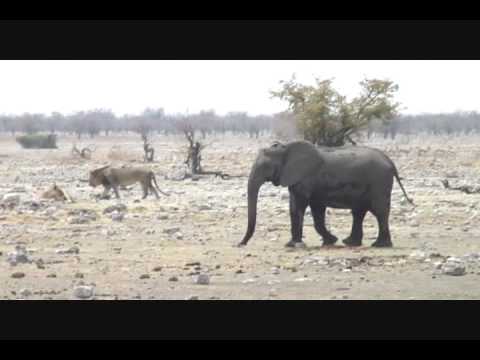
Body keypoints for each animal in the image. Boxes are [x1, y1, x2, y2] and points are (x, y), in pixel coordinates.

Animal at [238, 140, 414, 248]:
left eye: (265, 166)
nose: (240, 244)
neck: (286, 147)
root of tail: (390, 161)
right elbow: (304, 208)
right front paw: (326, 241)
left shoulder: (305, 177)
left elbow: (302, 206)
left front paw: (298, 244)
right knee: (359, 212)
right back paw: (350, 242)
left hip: (379, 182)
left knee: (379, 211)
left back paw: (379, 245)